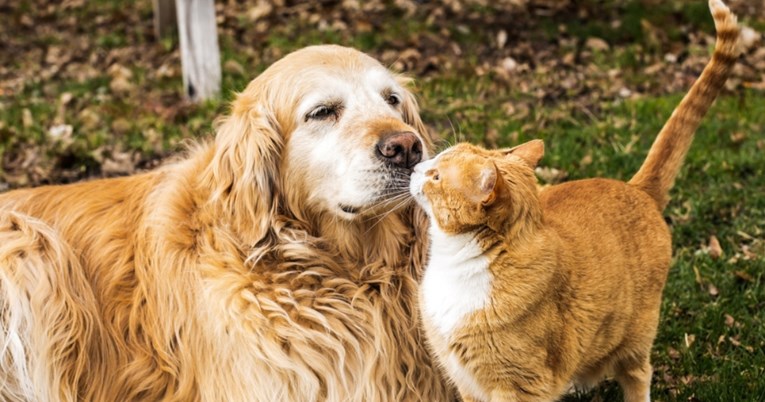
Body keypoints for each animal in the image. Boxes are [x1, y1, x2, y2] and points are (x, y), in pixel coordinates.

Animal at [412, 1, 740, 400]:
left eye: (437, 176)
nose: (416, 165)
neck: (455, 262)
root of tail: (637, 188)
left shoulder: (520, 386)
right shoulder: (465, 381)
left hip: (636, 335)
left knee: (637, 374)